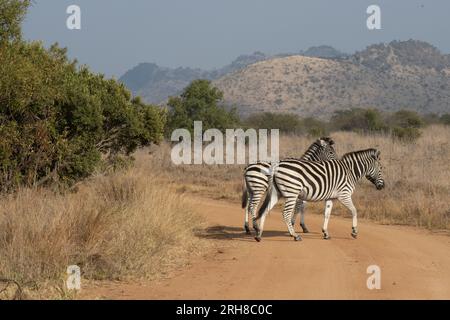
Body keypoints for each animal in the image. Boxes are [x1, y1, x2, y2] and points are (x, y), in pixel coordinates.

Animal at [256, 149, 384, 241]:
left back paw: (259, 235)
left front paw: (325, 233)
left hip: (276, 193)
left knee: (265, 211)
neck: (350, 171)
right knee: (286, 214)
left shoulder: (330, 198)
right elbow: (354, 211)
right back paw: (295, 236)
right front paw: (354, 232)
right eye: (381, 168)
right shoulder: (344, 195)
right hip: (292, 192)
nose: (382, 186)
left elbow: (327, 215)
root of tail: (276, 166)